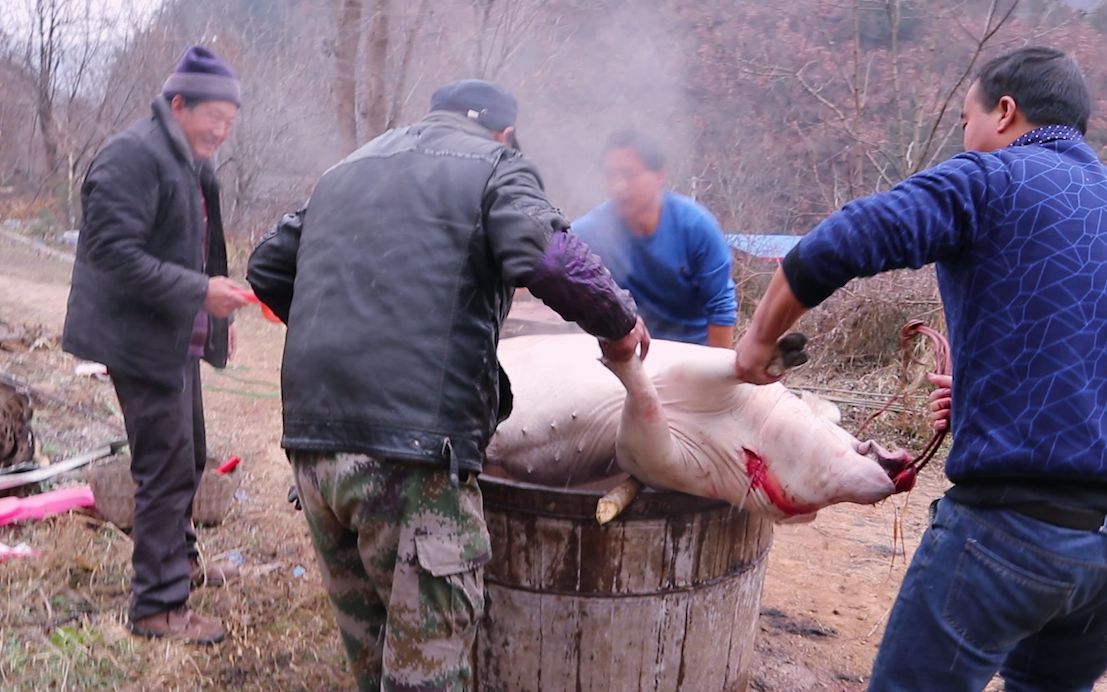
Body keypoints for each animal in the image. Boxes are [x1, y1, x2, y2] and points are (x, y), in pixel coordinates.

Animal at [489, 334, 903, 518]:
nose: (900, 477)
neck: (748, 438)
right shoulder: (693, 370)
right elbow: (730, 365)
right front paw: (787, 351)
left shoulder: (670, 463)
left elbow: (641, 436)